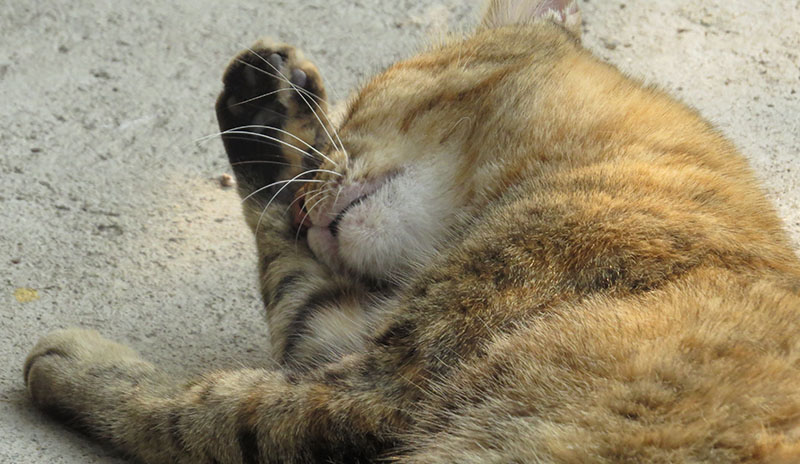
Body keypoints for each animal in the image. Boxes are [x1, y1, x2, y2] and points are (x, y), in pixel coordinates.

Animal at [21, 0, 800, 462]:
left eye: (366, 101)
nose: (305, 211)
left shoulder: (387, 387)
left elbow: (201, 410)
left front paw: (80, 366)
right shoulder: (351, 340)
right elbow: (290, 282)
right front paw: (267, 118)